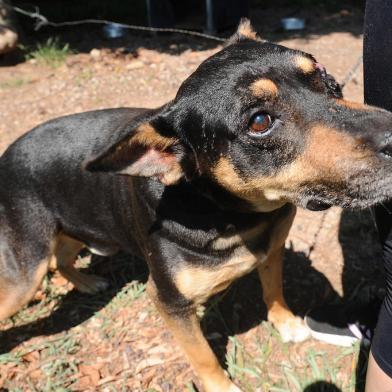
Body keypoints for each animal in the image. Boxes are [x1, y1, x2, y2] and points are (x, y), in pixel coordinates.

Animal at [0, 19, 392, 390]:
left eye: (327, 78)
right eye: (260, 121)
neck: (232, 215)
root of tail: (7, 155)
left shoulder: (273, 249)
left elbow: (274, 290)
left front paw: (286, 323)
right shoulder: (170, 302)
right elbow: (202, 355)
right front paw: (222, 386)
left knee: (62, 257)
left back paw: (85, 281)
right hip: (26, 272)